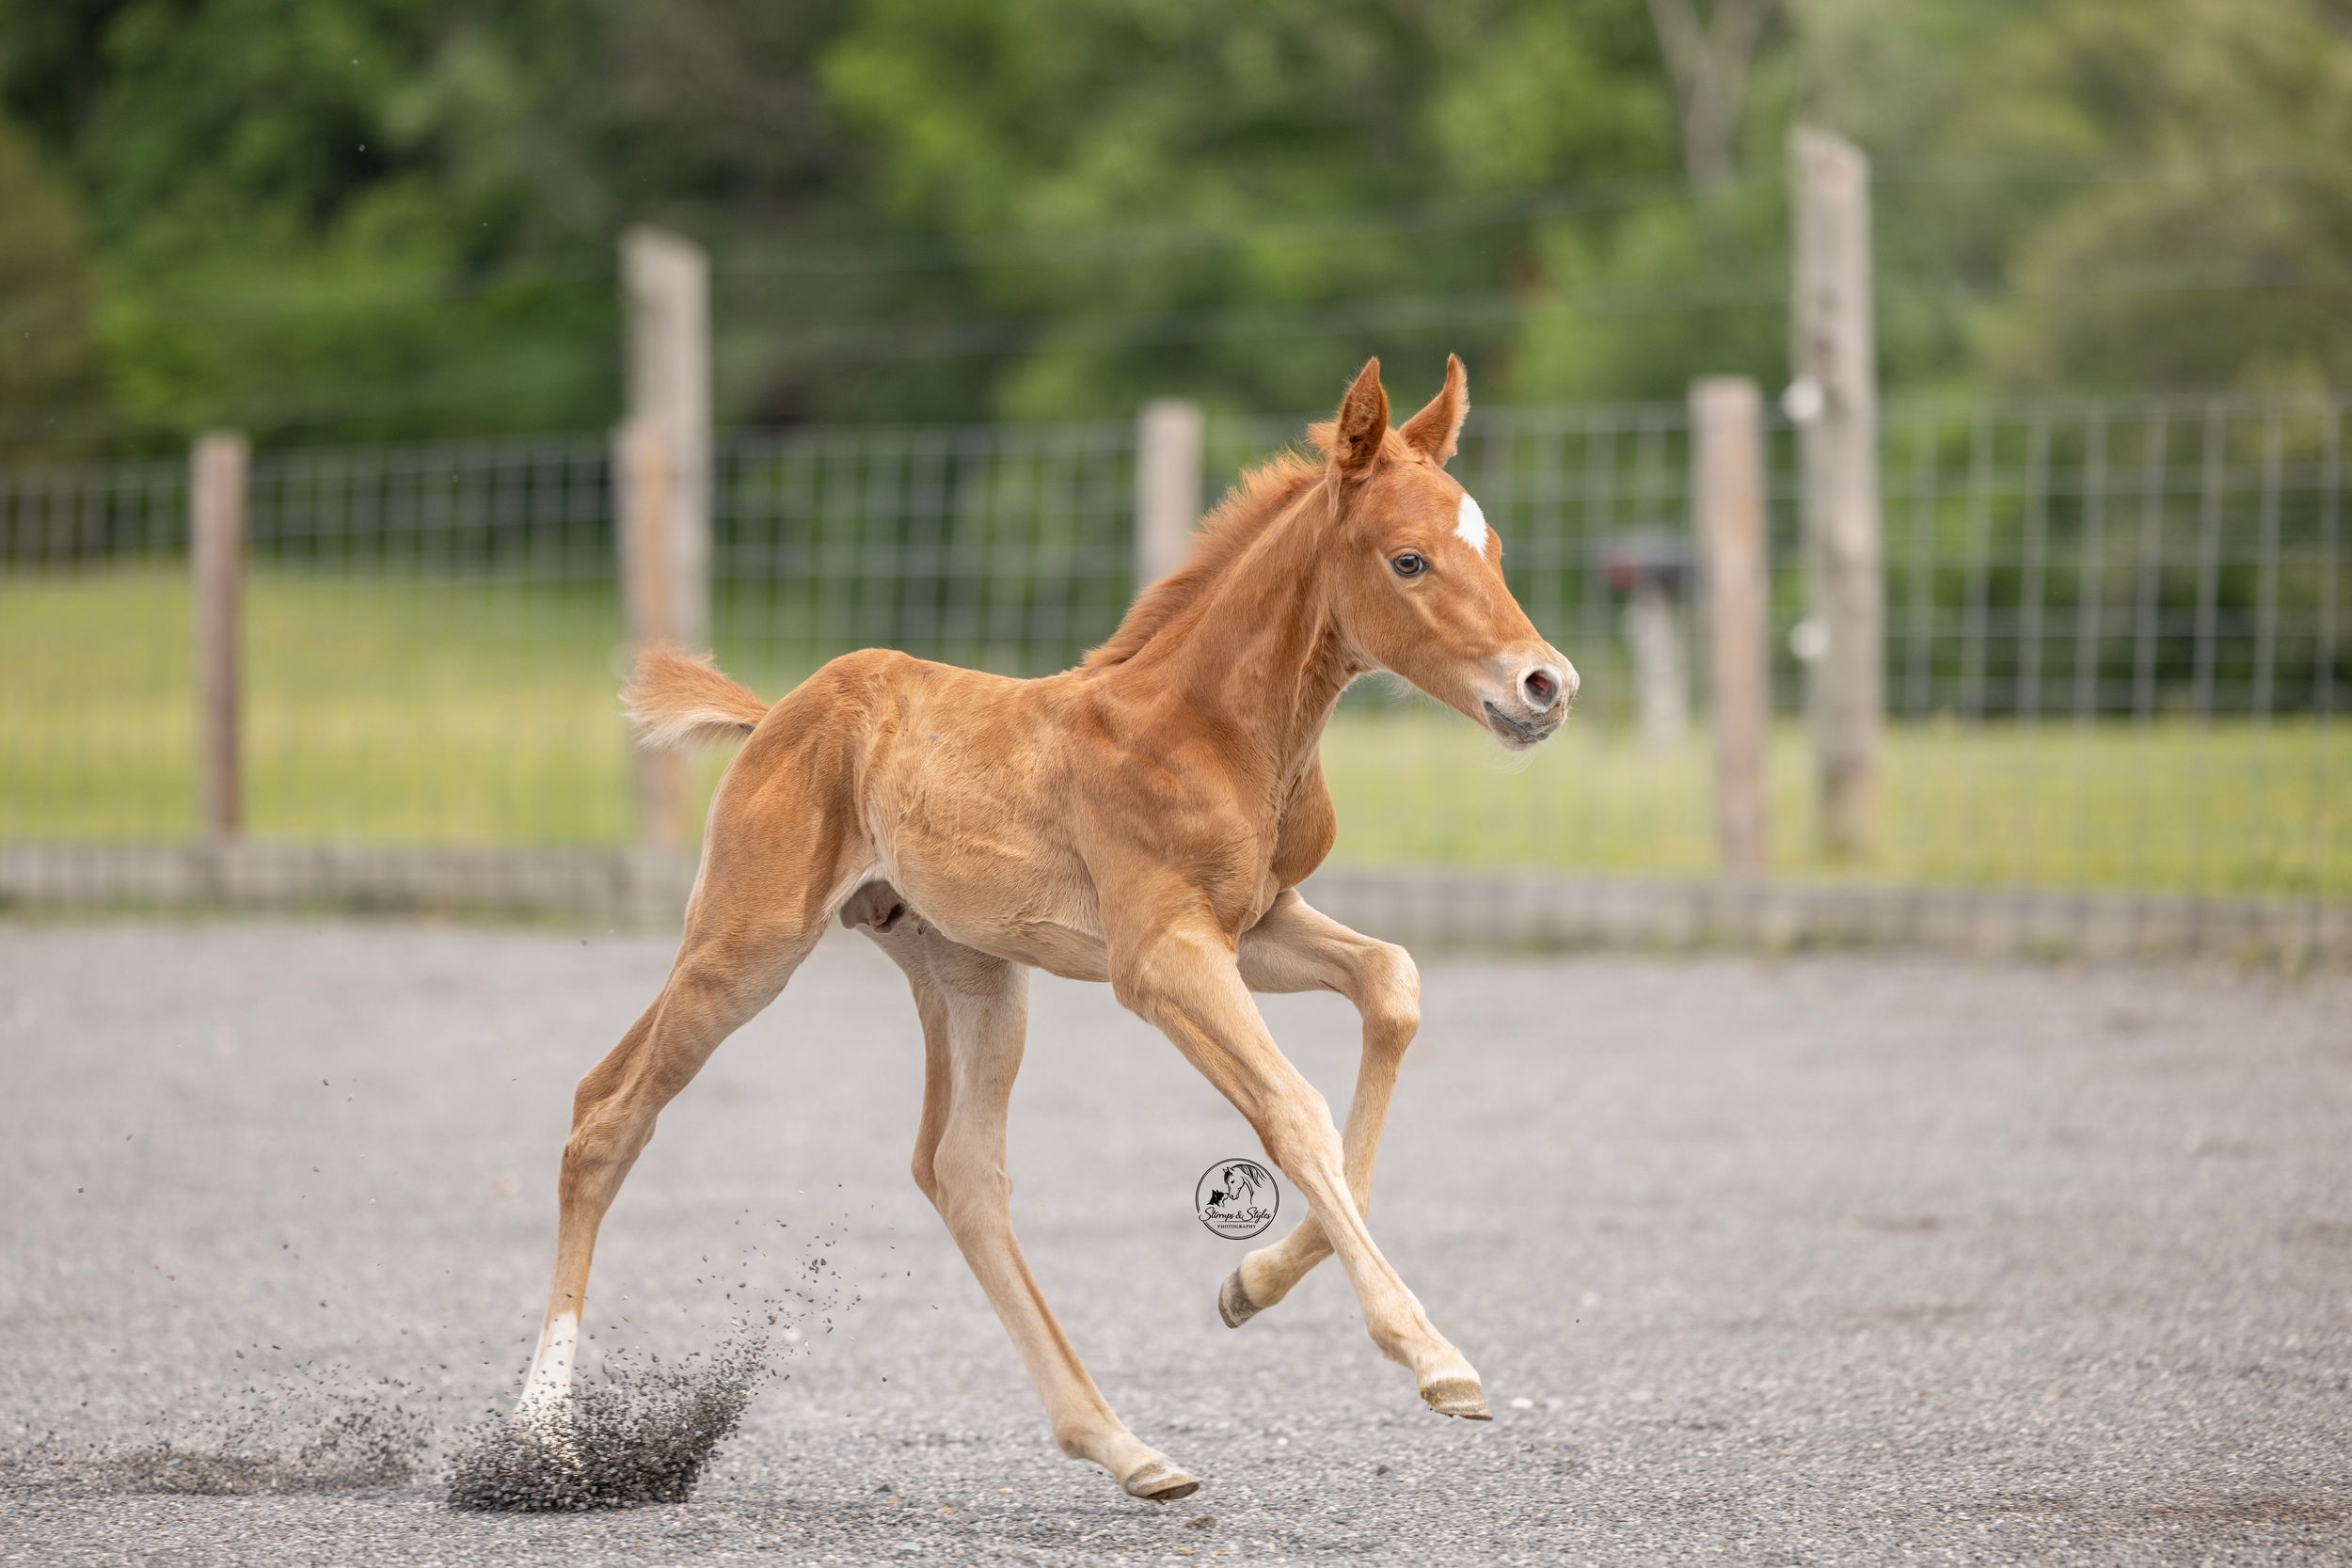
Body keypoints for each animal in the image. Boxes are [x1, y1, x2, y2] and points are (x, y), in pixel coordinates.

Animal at [513, 356, 1577, 1503]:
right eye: (1409, 559)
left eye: (1493, 549)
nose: (1545, 684)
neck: (1216, 731)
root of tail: (777, 716)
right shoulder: (1161, 956)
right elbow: (1293, 1108)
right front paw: (1433, 1355)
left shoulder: (1256, 924)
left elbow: (1392, 985)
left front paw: (1249, 1282)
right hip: (747, 942)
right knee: (609, 1114)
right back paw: (539, 1435)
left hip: (968, 968)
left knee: (959, 1169)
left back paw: (1124, 1446)